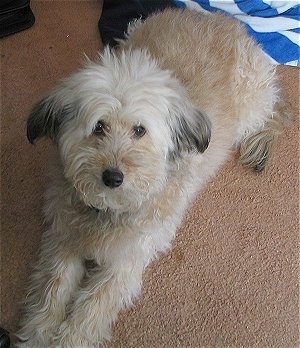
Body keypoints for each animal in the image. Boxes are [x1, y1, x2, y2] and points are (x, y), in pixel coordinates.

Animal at [16, 8, 290, 348]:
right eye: (99, 126)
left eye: (139, 130)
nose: (113, 177)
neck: (109, 211)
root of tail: (220, 17)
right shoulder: (62, 238)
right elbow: (51, 288)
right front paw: (37, 333)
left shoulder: (126, 263)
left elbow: (93, 306)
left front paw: (71, 339)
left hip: (252, 104)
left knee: (271, 111)